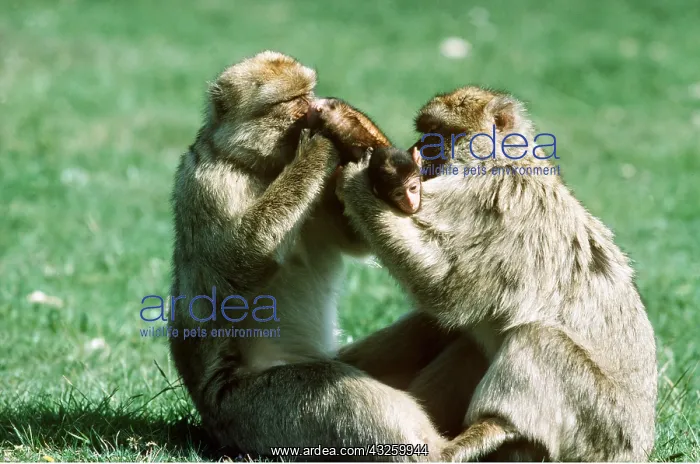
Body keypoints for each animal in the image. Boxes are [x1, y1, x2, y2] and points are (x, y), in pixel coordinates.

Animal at [168, 51, 448, 461]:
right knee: (337, 389)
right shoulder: (208, 183)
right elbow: (236, 263)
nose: (314, 108)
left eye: (309, 93)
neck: (260, 166)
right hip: (253, 411)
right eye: (293, 100)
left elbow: (357, 237)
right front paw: (318, 146)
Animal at [337, 85, 657, 461]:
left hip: (599, 426)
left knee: (538, 337)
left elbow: (446, 288)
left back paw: (486, 431)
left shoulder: (485, 195)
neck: (501, 158)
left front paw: (355, 181)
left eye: (439, 133)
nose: (418, 150)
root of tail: (640, 443)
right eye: (424, 132)